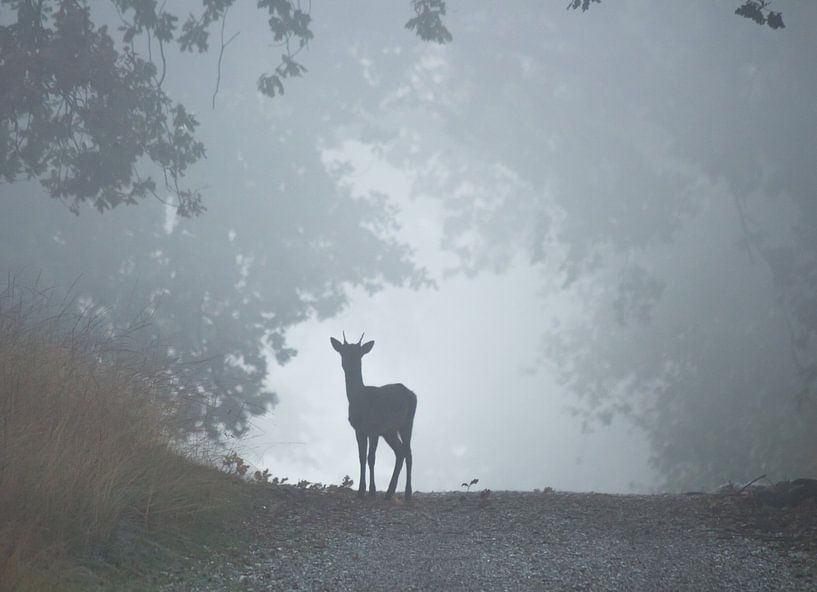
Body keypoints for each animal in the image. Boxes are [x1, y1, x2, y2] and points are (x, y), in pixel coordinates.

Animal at [330, 332, 417, 501]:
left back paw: (405, 493)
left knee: (407, 453)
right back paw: (393, 492)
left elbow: (370, 458)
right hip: (391, 430)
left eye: (359, 354)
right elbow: (363, 457)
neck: (360, 401)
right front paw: (364, 491)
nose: (350, 367)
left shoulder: (374, 428)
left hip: (405, 423)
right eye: (343, 352)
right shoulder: (360, 430)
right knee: (402, 452)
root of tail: (412, 394)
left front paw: (368, 490)